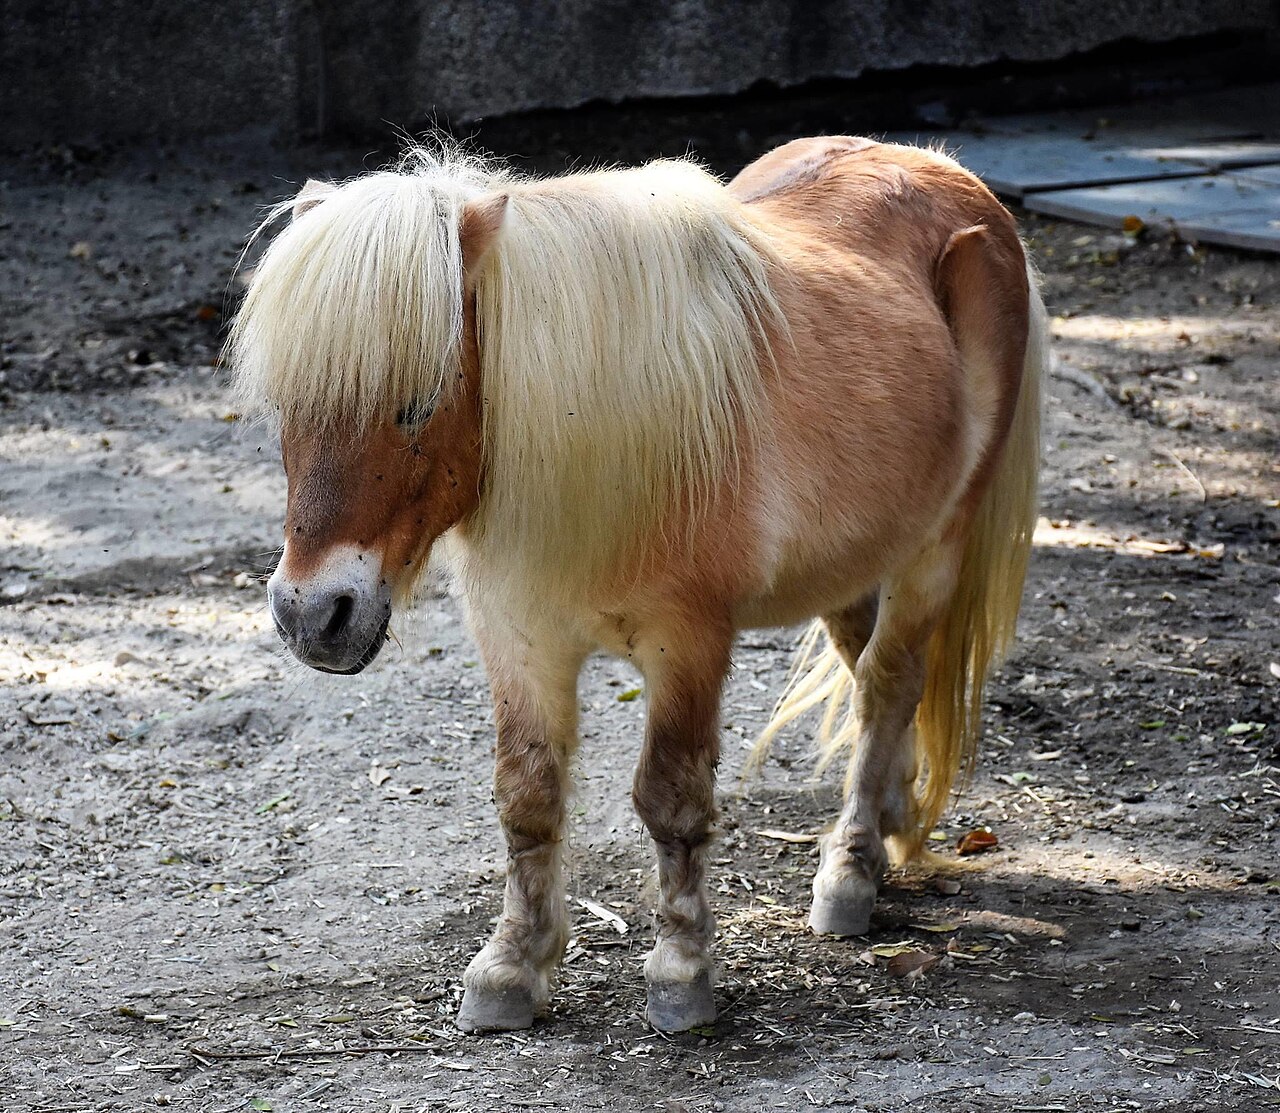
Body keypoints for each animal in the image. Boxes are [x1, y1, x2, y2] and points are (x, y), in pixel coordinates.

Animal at [230, 135, 1045, 1034]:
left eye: (418, 399)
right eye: (286, 405)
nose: (312, 614)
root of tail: (947, 173)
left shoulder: (687, 645)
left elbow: (672, 800)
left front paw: (681, 972)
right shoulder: (519, 638)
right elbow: (527, 795)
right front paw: (511, 967)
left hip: (935, 547)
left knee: (887, 686)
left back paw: (851, 871)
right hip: (855, 562)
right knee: (875, 674)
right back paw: (893, 814)